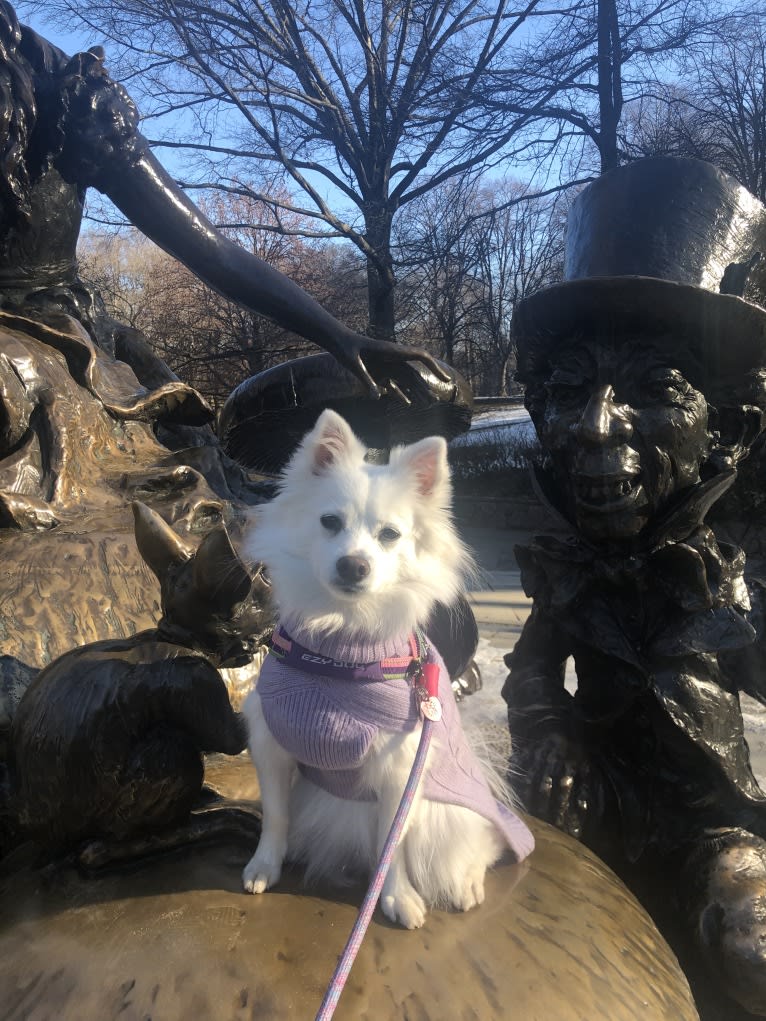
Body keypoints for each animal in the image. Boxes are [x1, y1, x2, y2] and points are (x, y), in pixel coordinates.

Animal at [241, 406, 535, 927]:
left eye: (390, 536)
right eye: (330, 522)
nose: (354, 564)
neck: (340, 650)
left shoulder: (399, 771)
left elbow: (390, 847)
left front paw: (396, 897)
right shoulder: (271, 743)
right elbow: (275, 815)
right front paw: (265, 865)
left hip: (443, 813)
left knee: (476, 846)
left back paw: (467, 885)